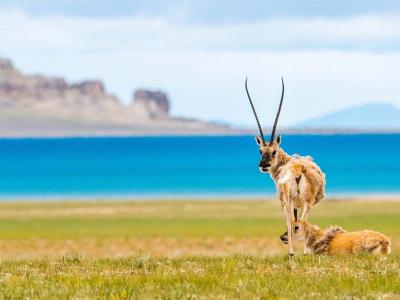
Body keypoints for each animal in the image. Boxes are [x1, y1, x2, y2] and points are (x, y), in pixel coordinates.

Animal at [245, 77, 326, 255]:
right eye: (261, 150)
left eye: (273, 151)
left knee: (295, 220)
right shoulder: (297, 203)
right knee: (300, 220)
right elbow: (295, 221)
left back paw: (294, 251)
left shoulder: (285, 202)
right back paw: (300, 251)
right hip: (303, 201)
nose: (263, 165)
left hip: (290, 200)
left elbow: (292, 222)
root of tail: (298, 169)